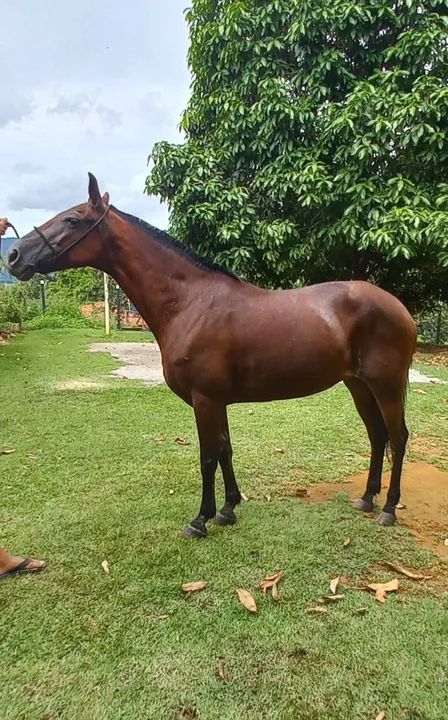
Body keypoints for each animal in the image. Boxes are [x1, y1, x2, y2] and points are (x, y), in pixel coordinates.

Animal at [7, 174, 417, 538]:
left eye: (72, 219)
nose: (13, 254)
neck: (190, 303)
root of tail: (400, 307)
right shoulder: (216, 401)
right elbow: (224, 451)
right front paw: (228, 509)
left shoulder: (204, 399)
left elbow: (207, 457)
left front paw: (200, 520)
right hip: (358, 385)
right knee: (377, 436)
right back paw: (367, 499)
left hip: (385, 386)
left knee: (397, 438)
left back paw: (388, 509)